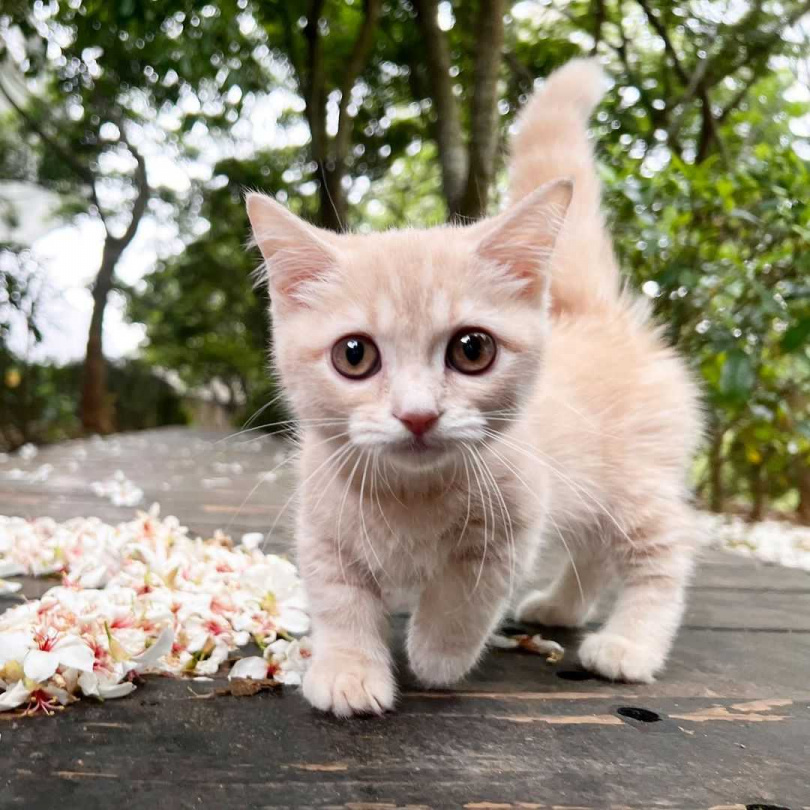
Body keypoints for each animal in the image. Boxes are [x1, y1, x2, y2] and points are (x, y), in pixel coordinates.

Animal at [245, 58, 700, 712]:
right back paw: (561, 606)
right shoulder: (322, 526)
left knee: (664, 547)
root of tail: (594, 311)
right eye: (354, 355)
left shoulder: (515, 518)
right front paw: (349, 670)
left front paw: (437, 654)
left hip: (637, 480)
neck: (411, 498)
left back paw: (629, 643)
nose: (417, 415)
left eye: (472, 350)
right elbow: (339, 599)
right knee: (592, 547)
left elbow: (465, 593)